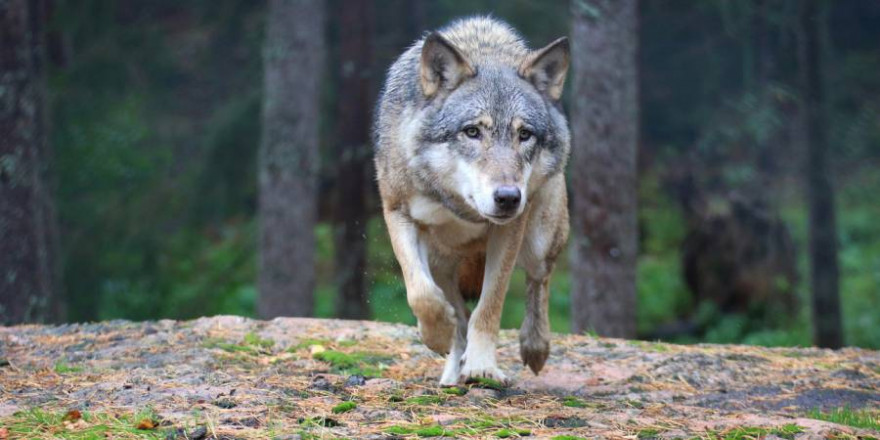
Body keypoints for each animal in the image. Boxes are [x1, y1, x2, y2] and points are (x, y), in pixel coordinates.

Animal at [372, 15, 572, 384]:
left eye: (525, 135)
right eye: (472, 132)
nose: (508, 197)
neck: (460, 209)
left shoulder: (509, 231)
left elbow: (489, 306)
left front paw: (482, 367)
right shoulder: (398, 214)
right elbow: (420, 294)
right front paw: (437, 335)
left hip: (539, 239)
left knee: (539, 279)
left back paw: (534, 346)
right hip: (441, 263)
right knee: (458, 315)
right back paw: (452, 375)